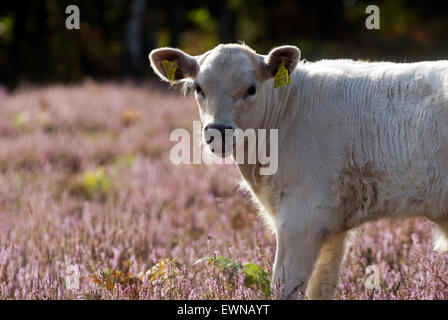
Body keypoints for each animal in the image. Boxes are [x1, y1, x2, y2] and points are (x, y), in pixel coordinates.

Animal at [150, 43, 448, 300]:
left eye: (251, 89)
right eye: (198, 87)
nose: (218, 132)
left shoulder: (302, 218)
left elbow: (284, 286)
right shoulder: (333, 228)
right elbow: (321, 287)